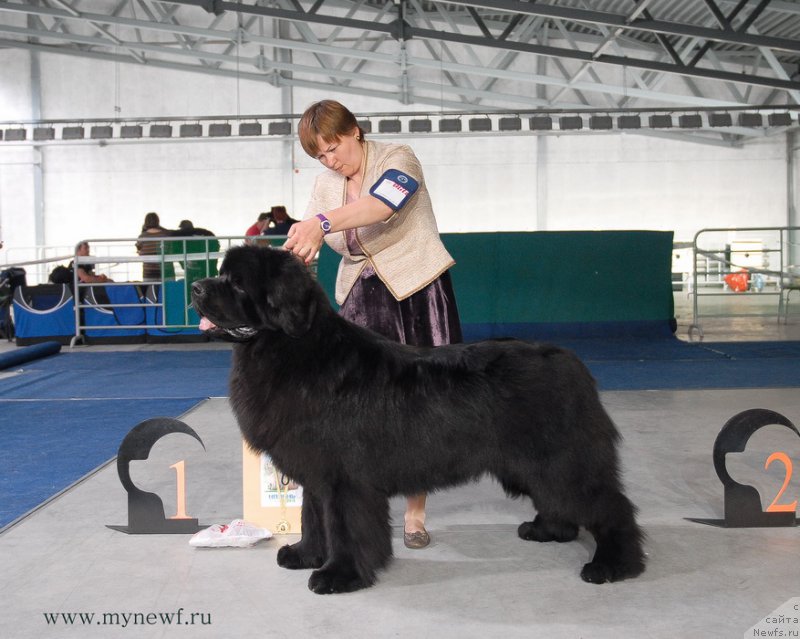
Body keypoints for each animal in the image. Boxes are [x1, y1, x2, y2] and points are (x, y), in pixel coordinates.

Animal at [192, 246, 644, 596]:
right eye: (220, 274)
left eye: (237, 284)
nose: (196, 288)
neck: (292, 348)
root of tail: (571, 362)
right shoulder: (316, 471)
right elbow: (313, 517)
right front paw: (305, 555)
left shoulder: (344, 478)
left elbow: (343, 526)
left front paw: (339, 575)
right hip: (534, 463)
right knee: (560, 501)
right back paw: (549, 530)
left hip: (562, 460)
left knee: (610, 507)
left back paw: (615, 565)